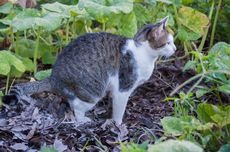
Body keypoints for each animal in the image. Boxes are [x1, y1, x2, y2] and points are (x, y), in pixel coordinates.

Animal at [2, 16, 176, 125]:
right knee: (77, 108)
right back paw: (84, 120)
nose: (175, 49)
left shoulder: (115, 89)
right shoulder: (123, 88)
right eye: (168, 42)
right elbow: (119, 110)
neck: (144, 54)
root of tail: (53, 77)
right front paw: (117, 124)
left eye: (173, 42)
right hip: (93, 92)